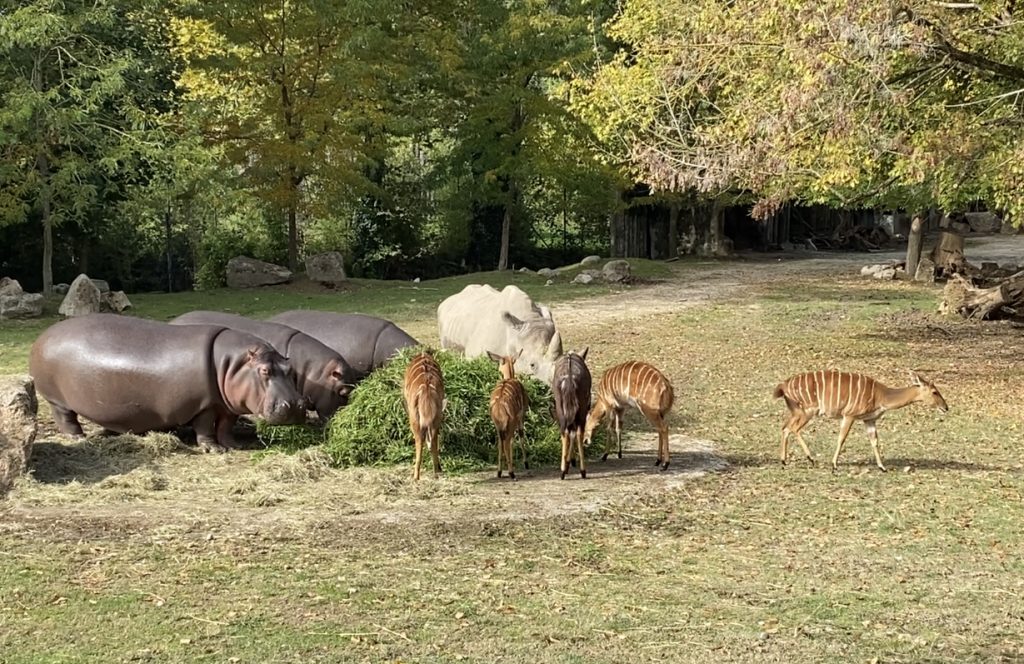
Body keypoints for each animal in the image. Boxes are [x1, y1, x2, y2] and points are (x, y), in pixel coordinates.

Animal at [401, 350, 446, 479]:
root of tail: (426, 386)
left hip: (415, 419)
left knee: (420, 440)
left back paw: (416, 476)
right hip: (437, 417)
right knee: (433, 440)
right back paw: (436, 472)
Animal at [487, 350, 532, 479]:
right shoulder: (521, 416)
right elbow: (520, 437)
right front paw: (526, 464)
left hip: (498, 425)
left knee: (500, 443)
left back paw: (499, 472)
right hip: (511, 422)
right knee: (507, 442)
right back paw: (512, 473)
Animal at [552, 350, 593, 479]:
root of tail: (569, 378)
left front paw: (569, 462)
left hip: (564, 409)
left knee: (566, 432)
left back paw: (564, 470)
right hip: (581, 410)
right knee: (576, 432)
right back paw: (581, 470)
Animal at [774, 368, 950, 471]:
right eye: (934, 392)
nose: (946, 407)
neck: (881, 396)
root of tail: (782, 386)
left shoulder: (869, 420)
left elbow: (874, 441)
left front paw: (882, 467)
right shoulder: (849, 414)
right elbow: (842, 438)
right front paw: (834, 465)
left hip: (795, 411)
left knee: (785, 427)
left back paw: (784, 460)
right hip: (808, 411)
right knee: (793, 428)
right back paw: (810, 459)